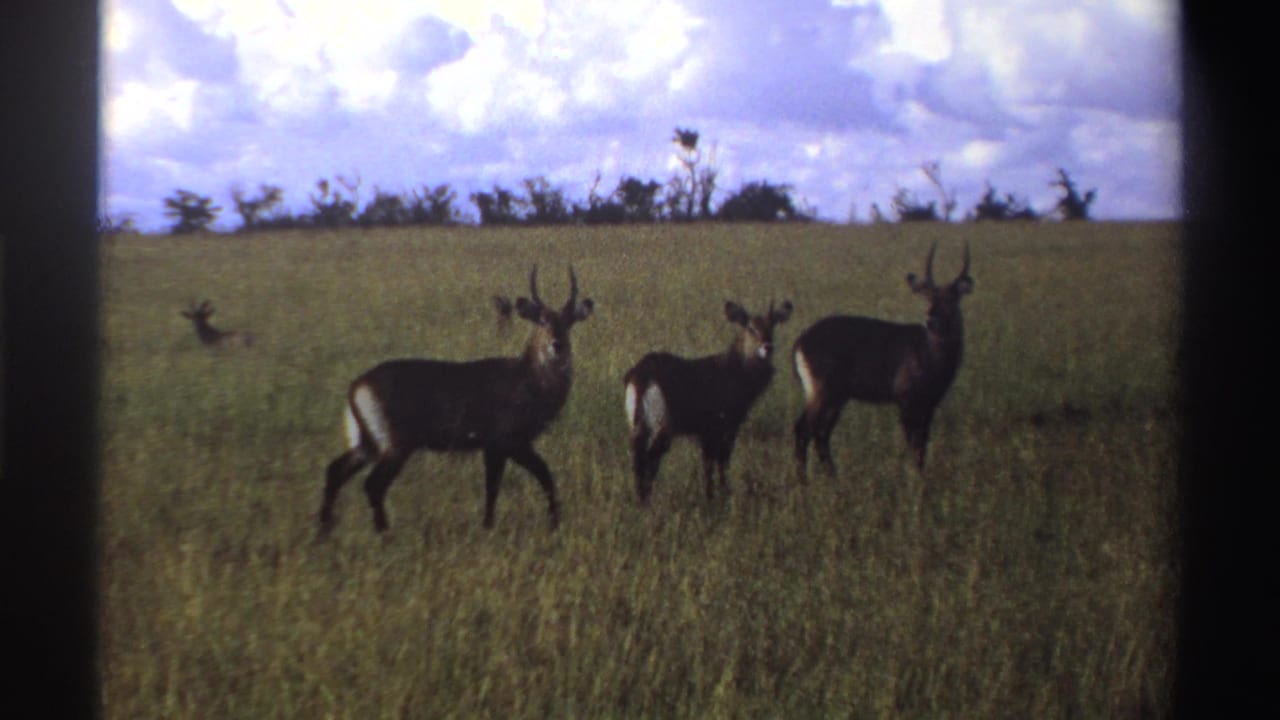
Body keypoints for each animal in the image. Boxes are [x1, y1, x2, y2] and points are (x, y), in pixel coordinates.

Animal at [319, 266, 594, 536]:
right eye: (542, 320)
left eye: (568, 321)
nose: (557, 345)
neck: (528, 378)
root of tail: (357, 386)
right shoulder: (506, 442)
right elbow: (525, 479)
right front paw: (544, 523)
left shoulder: (500, 446)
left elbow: (518, 481)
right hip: (396, 444)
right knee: (373, 484)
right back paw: (383, 535)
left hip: (368, 443)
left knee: (335, 470)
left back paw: (324, 532)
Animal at [624, 300, 793, 504]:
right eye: (751, 328)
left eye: (773, 325)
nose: (767, 347)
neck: (736, 370)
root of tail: (641, 373)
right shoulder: (722, 428)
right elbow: (719, 461)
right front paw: (720, 495)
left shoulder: (707, 433)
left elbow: (709, 463)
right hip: (662, 426)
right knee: (650, 458)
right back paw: (645, 501)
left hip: (638, 426)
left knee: (639, 458)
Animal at [793, 242, 973, 477]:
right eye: (928, 297)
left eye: (952, 298)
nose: (930, 320)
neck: (931, 355)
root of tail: (799, 342)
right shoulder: (906, 399)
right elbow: (914, 444)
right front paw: (917, 479)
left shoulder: (930, 403)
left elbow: (923, 443)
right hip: (824, 391)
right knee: (804, 429)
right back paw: (805, 480)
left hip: (837, 396)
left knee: (821, 433)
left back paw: (833, 477)